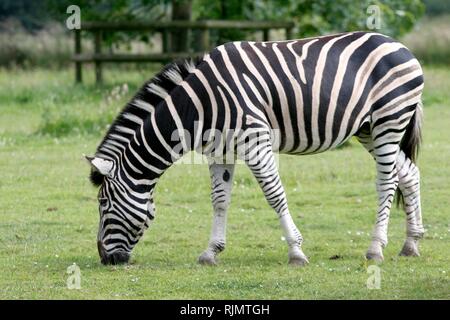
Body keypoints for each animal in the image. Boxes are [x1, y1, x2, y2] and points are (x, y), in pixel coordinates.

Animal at [87, 31, 426, 266]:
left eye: (103, 203)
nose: (105, 259)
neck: (199, 104)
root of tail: (400, 45)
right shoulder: (220, 150)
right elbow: (219, 200)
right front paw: (211, 252)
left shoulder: (256, 140)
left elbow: (275, 195)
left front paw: (296, 252)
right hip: (369, 129)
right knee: (409, 173)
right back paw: (411, 244)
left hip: (389, 120)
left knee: (387, 182)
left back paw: (376, 248)